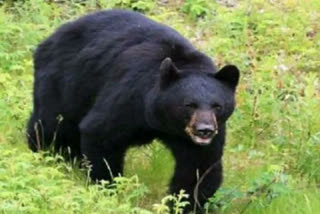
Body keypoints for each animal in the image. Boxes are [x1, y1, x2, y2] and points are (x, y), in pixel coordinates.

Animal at [26, 10, 238, 214]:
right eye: (189, 105)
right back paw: (44, 154)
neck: (162, 121)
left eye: (217, 106)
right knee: (52, 123)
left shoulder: (203, 135)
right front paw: (108, 191)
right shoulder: (129, 94)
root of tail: (50, 37)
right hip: (66, 79)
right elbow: (101, 133)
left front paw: (186, 206)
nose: (205, 130)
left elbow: (199, 165)